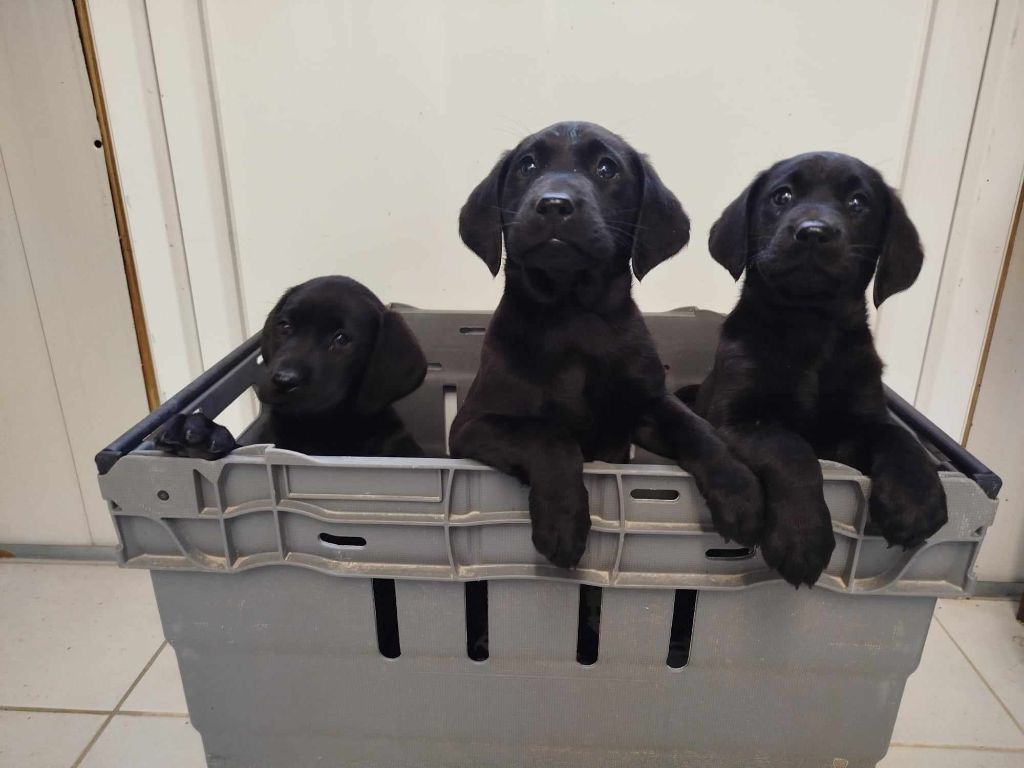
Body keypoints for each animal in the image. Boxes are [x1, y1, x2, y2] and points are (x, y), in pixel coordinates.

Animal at [452, 123, 765, 569]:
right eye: (527, 166)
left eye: (606, 168)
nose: (554, 205)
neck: (573, 319)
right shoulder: (471, 425)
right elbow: (548, 436)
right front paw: (563, 523)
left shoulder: (646, 407)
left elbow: (697, 428)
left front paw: (739, 490)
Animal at [688, 153, 950, 589]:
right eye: (782, 196)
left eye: (859, 202)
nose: (813, 233)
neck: (809, 326)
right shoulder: (739, 420)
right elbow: (792, 449)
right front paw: (801, 537)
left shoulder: (860, 421)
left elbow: (898, 435)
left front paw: (916, 498)